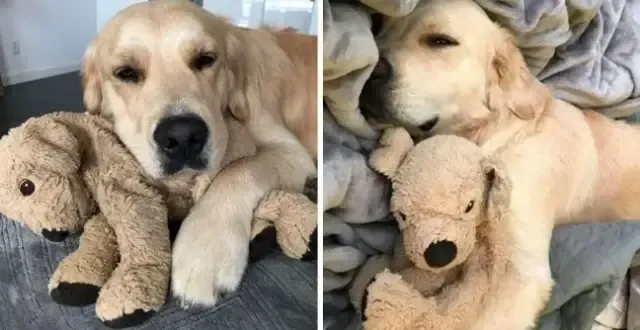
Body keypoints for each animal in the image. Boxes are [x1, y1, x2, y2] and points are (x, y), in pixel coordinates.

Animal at [82, 1, 318, 308]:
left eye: (205, 59)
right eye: (126, 72)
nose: (182, 136)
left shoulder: (292, 151)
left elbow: (239, 169)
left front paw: (206, 250)